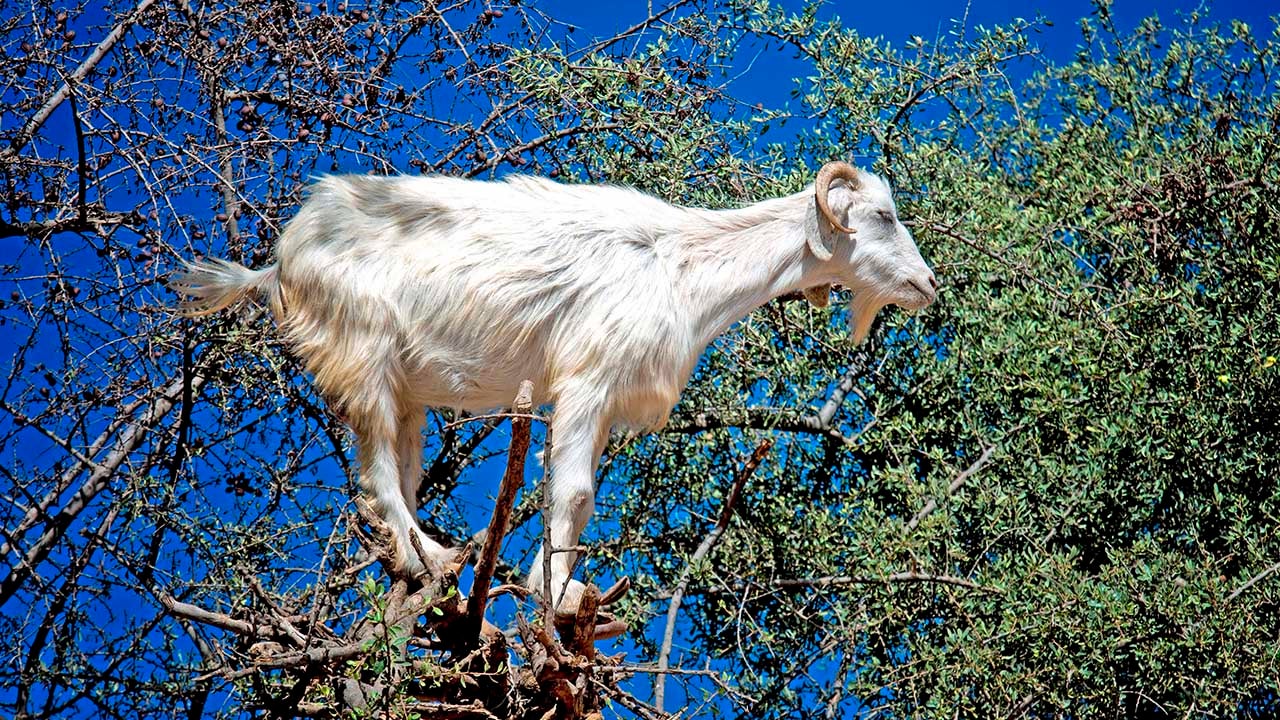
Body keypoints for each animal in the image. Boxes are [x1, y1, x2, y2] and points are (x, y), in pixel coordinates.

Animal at [171, 162, 937, 613]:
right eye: (883, 217)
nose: (928, 285)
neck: (682, 265)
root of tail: (280, 260)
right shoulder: (586, 383)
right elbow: (571, 493)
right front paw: (556, 594)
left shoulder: (601, 401)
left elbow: (578, 498)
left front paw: (558, 587)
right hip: (367, 361)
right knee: (378, 479)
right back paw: (435, 557)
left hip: (406, 395)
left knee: (399, 479)